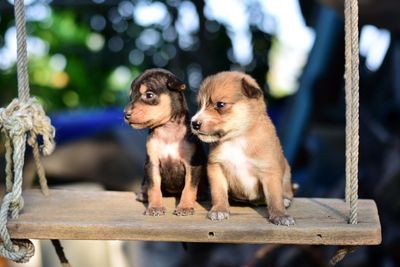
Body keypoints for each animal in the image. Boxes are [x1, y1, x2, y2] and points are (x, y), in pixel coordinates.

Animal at [124, 69, 206, 218]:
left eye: (149, 95)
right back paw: (143, 195)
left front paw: (185, 207)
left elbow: (189, 188)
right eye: (130, 97)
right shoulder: (152, 164)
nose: (125, 114)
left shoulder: (192, 165)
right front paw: (155, 207)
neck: (168, 130)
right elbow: (154, 188)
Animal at [191, 71, 294, 226]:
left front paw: (280, 215)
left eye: (220, 104)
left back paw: (286, 200)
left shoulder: (269, 171)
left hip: (286, 170)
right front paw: (219, 209)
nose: (194, 123)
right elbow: (218, 192)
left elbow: (274, 196)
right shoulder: (216, 167)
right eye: (199, 105)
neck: (236, 139)